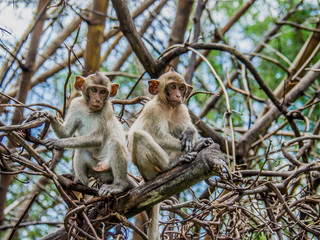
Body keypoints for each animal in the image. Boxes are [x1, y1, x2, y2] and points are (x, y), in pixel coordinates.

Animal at [127, 68, 212, 240]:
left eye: (181, 88)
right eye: (172, 87)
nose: (178, 95)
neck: (169, 107)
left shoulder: (181, 109)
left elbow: (188, 130)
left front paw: (192, 135)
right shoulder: (153, 109)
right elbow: (157, 136)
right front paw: (197, 144)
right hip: (150, 171)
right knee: (139, 136)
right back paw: (169, 166)